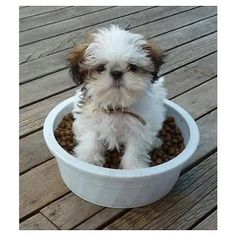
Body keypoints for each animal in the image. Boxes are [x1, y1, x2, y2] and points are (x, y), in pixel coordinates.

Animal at [66, 25, 167, 170]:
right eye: (101, 68)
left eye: (132, 67)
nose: (116, 73)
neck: (116, 107)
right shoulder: (91, 122)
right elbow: (91, 140)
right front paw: (88, 160)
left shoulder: (139, 129)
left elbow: (135, 150)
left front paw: (134, 167)